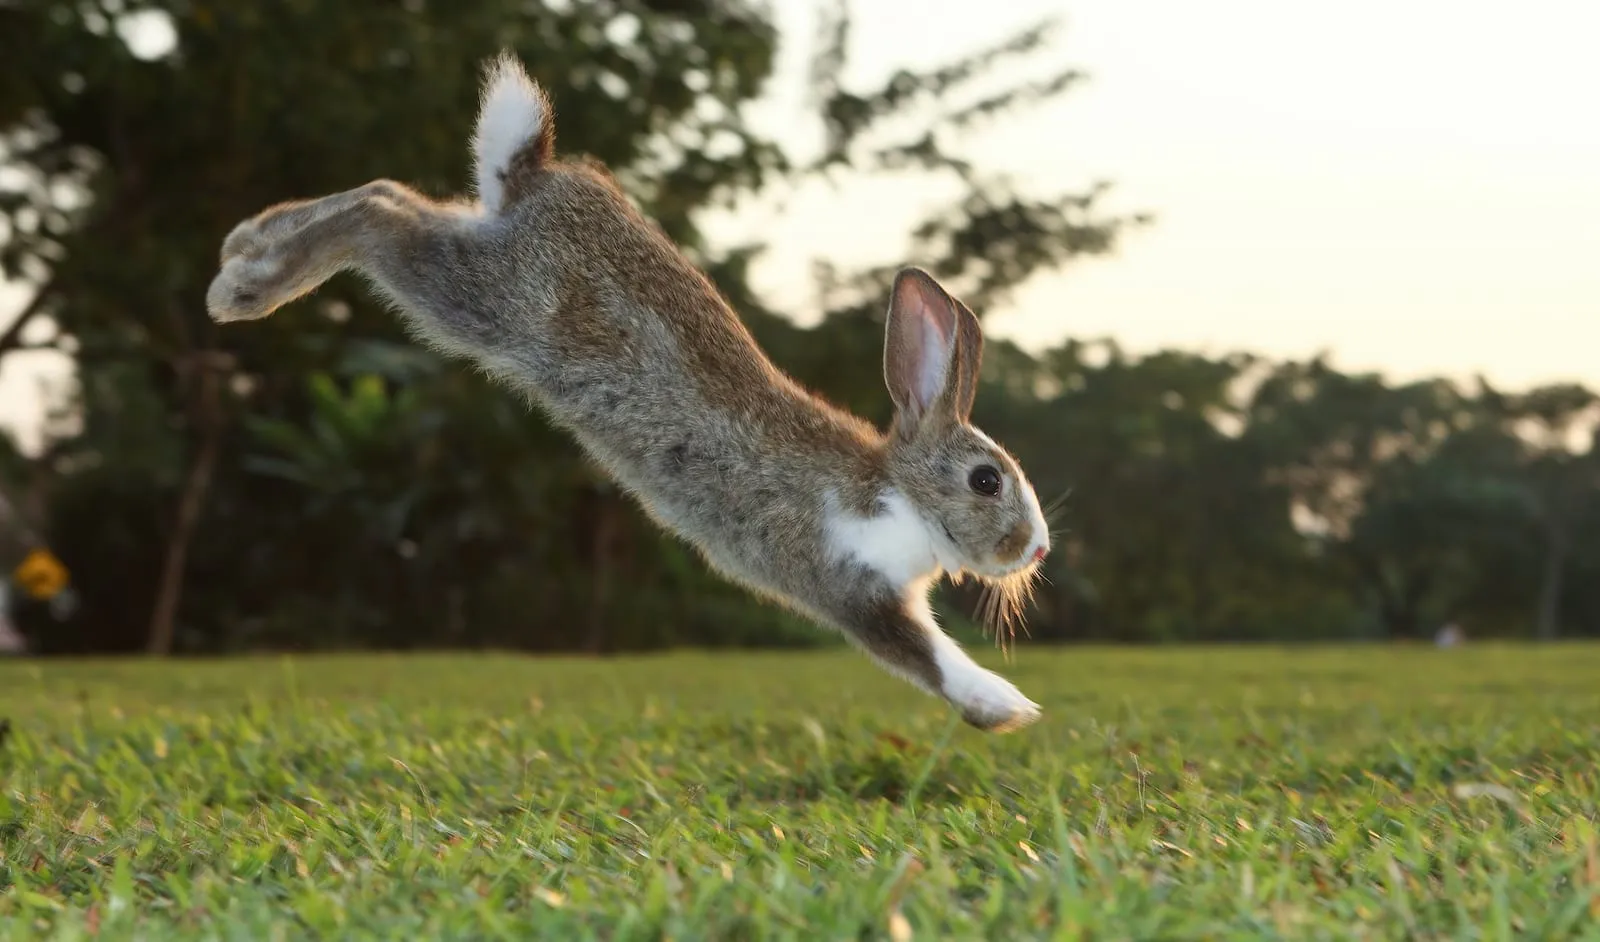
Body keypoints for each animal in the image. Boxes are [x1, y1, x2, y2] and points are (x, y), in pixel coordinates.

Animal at [205, 54, 1053, 732]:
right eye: (987, 480)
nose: (1037, 548)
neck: (897, 490)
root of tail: (539, 176)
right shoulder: (850, 585)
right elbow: (928, 656)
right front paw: (1008, 708)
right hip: (481, 299)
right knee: (378, 215)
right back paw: (243, 286)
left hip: (474, 255)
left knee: (392, 194)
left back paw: (245, 244)